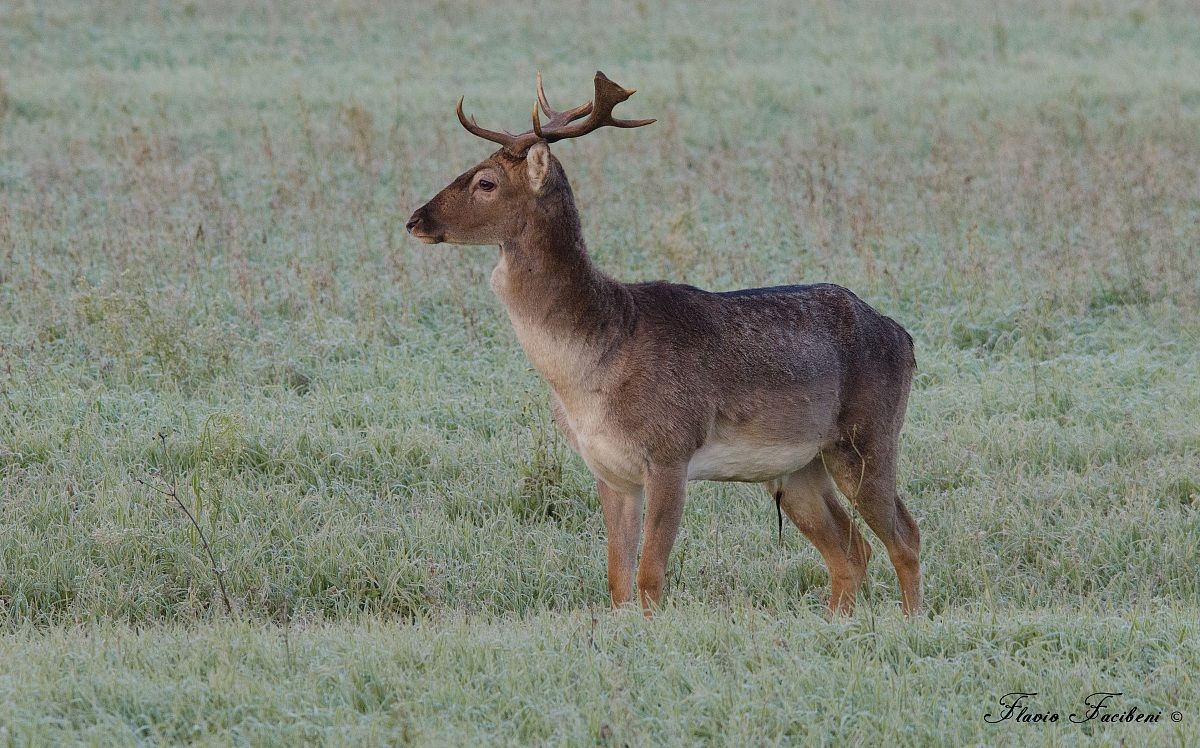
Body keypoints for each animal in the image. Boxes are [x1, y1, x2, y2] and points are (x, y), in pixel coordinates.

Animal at [406, 72, 921, 616]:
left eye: (486, 182)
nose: (414, 219)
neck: (596, 359)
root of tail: (905, 337)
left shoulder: (671, 449)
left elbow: (650, 575)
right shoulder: (609, 469)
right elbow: (617, 579)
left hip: (868, 435)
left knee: (904, 537)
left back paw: (912, 620)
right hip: (800, 466)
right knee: (852, 549)